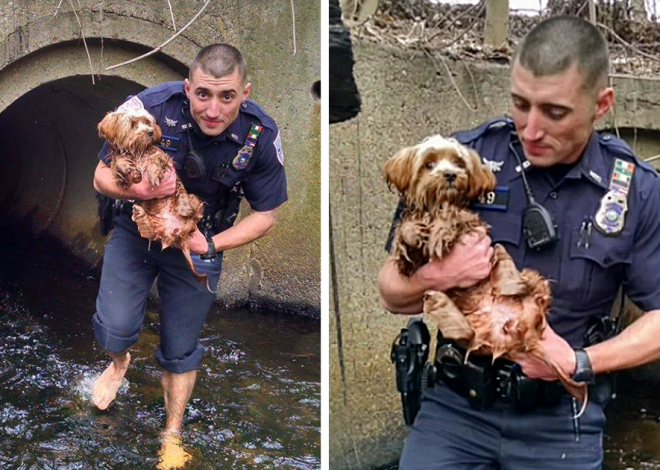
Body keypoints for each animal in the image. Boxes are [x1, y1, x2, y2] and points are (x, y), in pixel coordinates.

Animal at [97, 108, 209, 288]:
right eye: (132, 124)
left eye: (148, 122)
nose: (150, 132)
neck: (138, 150)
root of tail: (179, 235)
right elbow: (118, 165)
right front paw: (125, 167)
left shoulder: (162, 157)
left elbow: (156, 158)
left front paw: (153, 172)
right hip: (154, 224)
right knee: (149, 231)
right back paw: (141, 215)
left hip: (191, 201)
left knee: (194, 210)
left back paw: (185, 207)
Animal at [382, 136, 588, 414]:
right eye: (429, 164)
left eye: (458, 162)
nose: (450, 174)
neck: (435, 204)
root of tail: (519, 330)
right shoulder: (410, 264)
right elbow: (405, 236)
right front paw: (413, 231)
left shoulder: (473, 223)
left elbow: (454, 214)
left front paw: (441, 228)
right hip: (475, 333)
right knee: (465, 332)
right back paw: (440, 302)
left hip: (528, 278)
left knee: (527, 282)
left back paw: (510, 283)